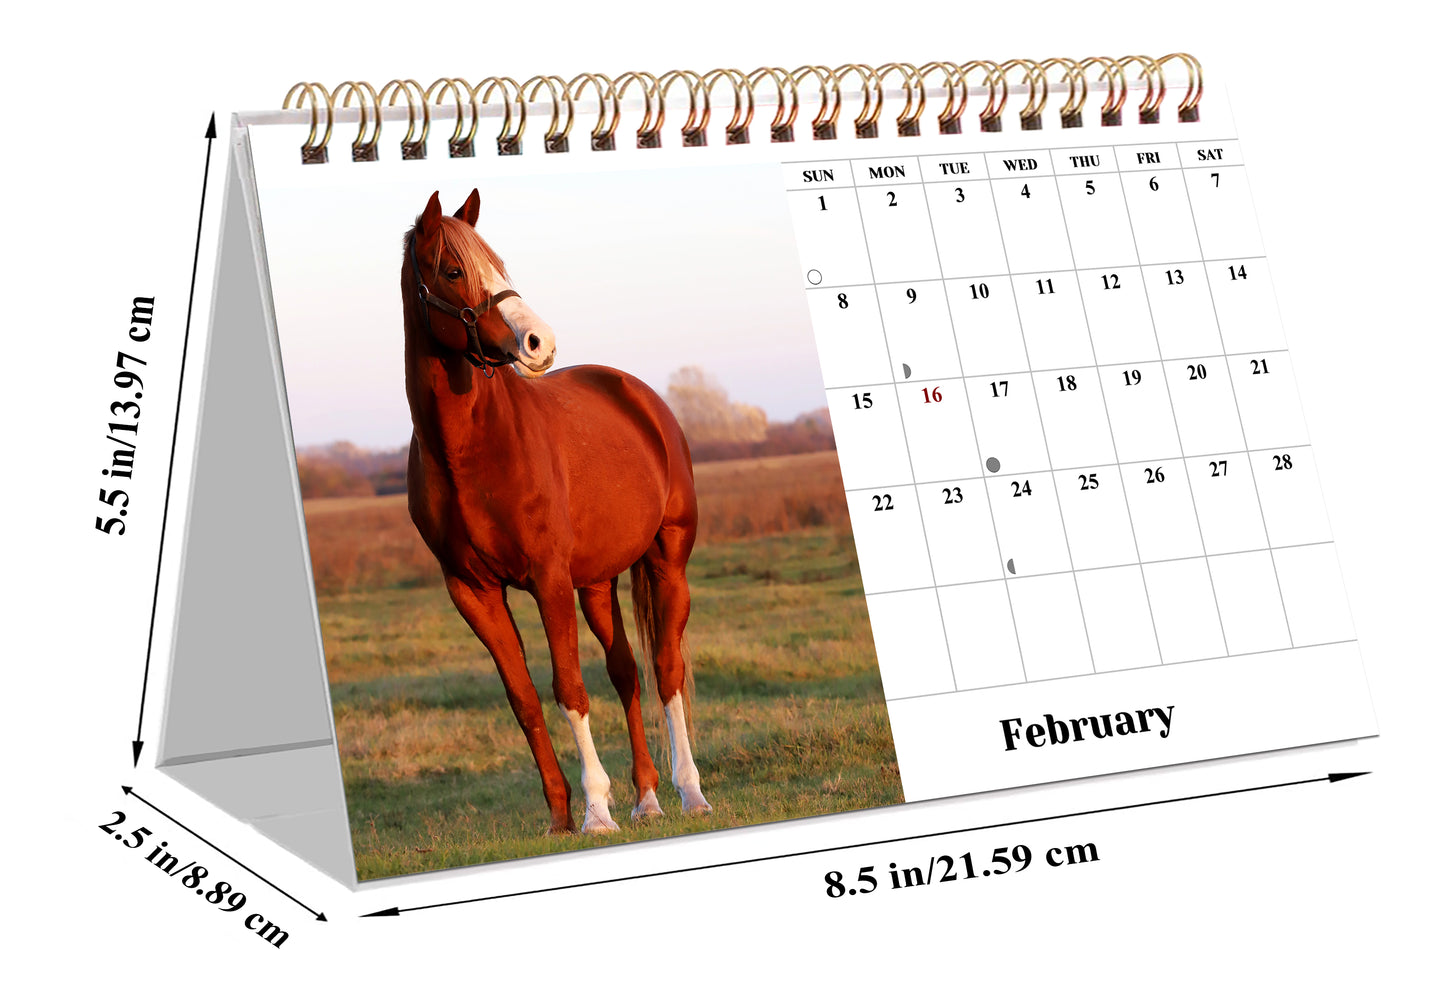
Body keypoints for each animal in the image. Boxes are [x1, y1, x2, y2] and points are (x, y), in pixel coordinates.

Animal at [401, 189, 711, 835]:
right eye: (453, 271)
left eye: (499, 265)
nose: (538, 343)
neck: (472, 450)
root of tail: (638, 395)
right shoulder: (472, 592)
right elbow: (523, 697)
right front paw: (562, 817)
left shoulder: (547, 580)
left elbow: (568, 686)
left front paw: (596, 810)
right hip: (595, 583)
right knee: (627, 673)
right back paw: (647, 798)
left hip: (666, 562)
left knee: (667, 669)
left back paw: (690, 792)